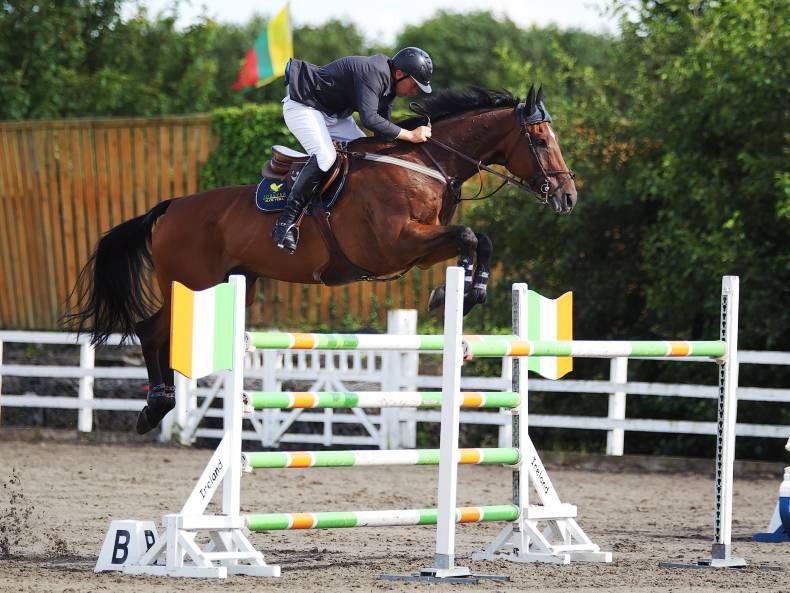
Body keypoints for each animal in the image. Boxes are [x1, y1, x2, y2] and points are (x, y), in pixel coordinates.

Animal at [63, 84, 577, 435]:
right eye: (541, 140)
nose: (568, 197)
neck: (426, 164)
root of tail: (171, 207)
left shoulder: (423, 247)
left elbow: (478, 240)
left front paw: (464, 292)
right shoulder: (398, 243)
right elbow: (471, 234)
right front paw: (461, 294)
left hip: (235, 284)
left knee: (163, 331)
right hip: (191, 284)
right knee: (153, 331)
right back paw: (155, 408)